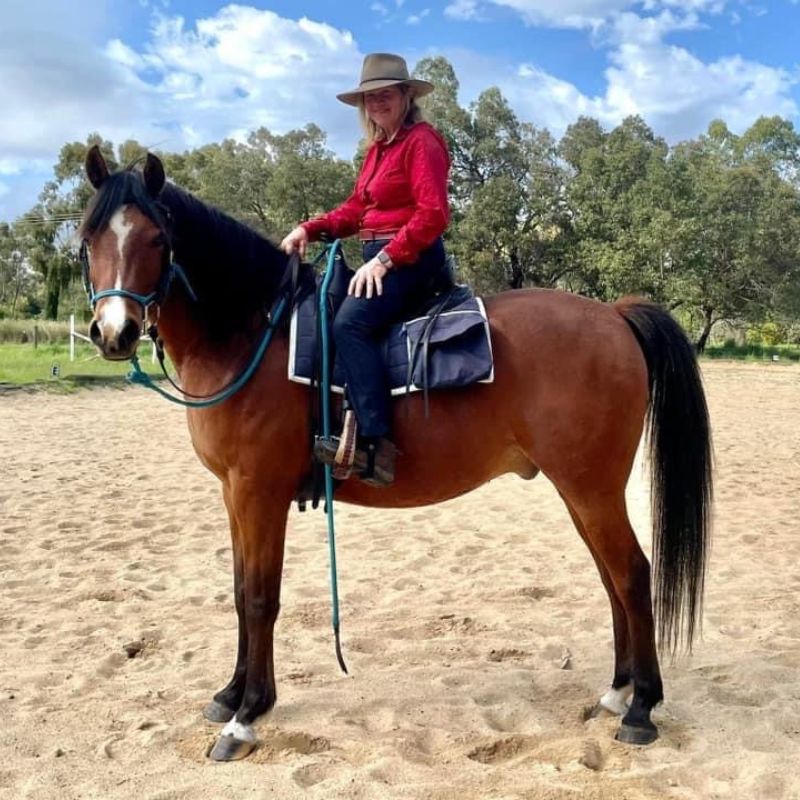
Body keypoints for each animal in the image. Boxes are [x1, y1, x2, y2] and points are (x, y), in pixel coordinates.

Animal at [78, 148, 708, 764]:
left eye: (156, 239)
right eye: (89, 237)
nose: (114, 332)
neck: (252, 332)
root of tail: (613, 314)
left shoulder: (259, 491)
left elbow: (260, 598)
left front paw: (248, 714)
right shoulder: (233, 492)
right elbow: (238, 592)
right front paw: (231, 694)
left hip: (591, 486)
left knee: (632, 575)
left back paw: (641, 709)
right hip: (580, 490)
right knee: (611, 576)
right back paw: (617, 690)